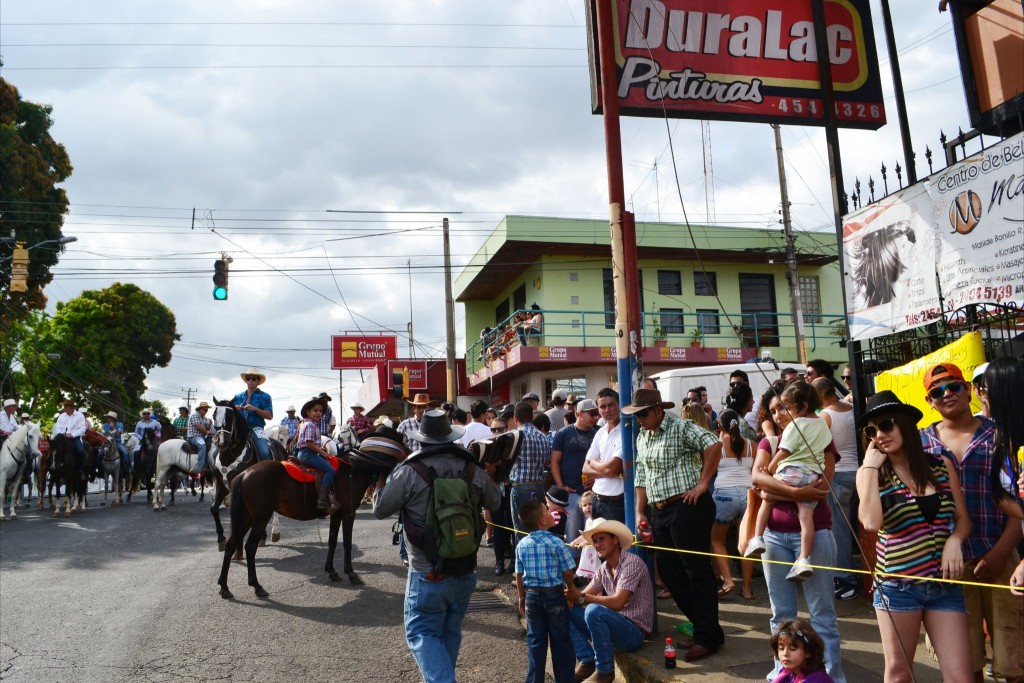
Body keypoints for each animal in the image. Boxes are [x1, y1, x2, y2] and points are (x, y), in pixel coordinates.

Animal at [217, 454, 372, 598]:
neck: (352, 471)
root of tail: (244, 474)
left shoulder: (336, 515)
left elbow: (332, 542)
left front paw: (332, 572)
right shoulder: (348, 513)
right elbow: (347, 543)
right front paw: (351, 573)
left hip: (245, 518)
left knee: (231, 545)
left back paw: (224, 587)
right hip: (260, 518)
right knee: (250, 547)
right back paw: (256, 586)